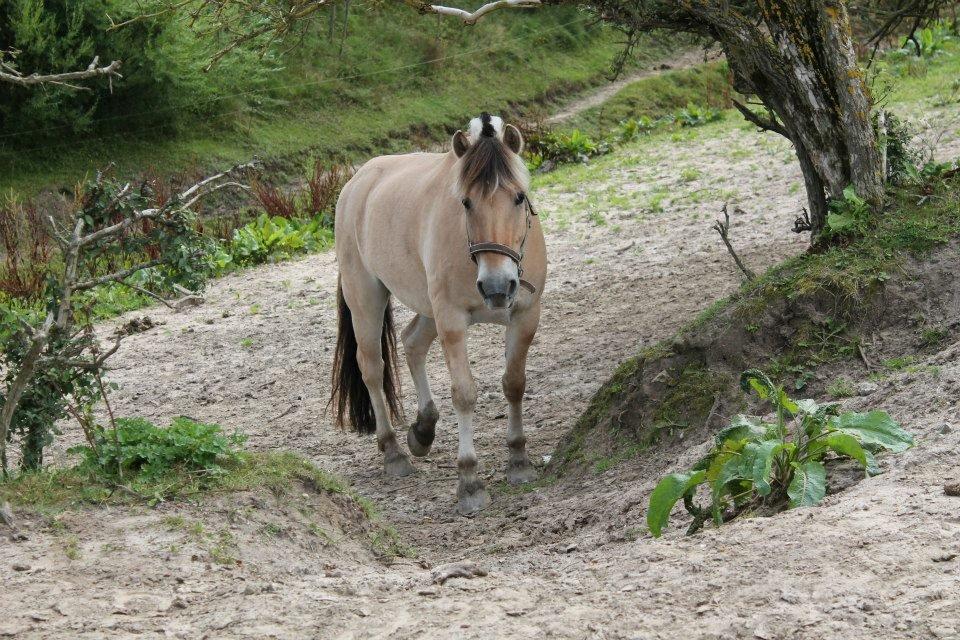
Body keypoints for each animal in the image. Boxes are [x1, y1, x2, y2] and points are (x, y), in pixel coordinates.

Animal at [328, 114, 544, 516]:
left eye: (519, 197)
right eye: (466, 202)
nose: (496, 287)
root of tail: (357, 181)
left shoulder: (525, 316)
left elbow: (514, 384)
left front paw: (519, 460)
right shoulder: (452, 322)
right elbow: (465, 394)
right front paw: (469, 482)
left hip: (426, 309)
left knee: (411, 343)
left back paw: (423, 429)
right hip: (367, 297)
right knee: (372, 366)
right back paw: (394, 452)